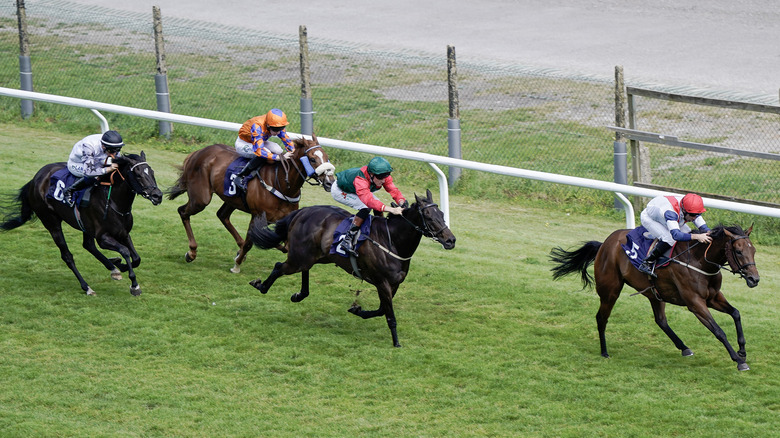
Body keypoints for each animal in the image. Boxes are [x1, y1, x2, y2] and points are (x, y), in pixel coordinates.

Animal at [0, 152, 162, 296]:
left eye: (152, 172)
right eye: (138, 174)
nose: (157, 196)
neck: (113, 202)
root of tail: (34, 180)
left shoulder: (123, 233)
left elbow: (136, 258)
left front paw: (118, 264)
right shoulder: (103, 237)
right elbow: (125, 251)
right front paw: (134, 285)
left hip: (85, 226)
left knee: (88, 245)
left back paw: (112, 268)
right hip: (51, 222)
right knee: (67, 256)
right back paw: (87, 287)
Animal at [166, 136, 334, 274]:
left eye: (326, 157)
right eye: (312, 159)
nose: (330, 182)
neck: (280, 183)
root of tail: (198, 152)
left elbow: (280, 243)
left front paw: (240, 255)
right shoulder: (257, 216)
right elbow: (251, 241)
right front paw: (236, 266)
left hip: (231, 199)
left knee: (222, 215)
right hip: (201, 198)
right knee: (183, 212)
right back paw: (192, 252)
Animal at [247, 190, 458, 348]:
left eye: (442, 215)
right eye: (428, 216)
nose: (450, 240)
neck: (392, 241)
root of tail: (302, 212)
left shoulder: (394, 283)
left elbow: (381, 310)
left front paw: (357, 310)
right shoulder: (382, 282)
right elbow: (389, 314)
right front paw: (396, 343)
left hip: (316, 256)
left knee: (303, 270)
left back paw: (299, 294)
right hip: (299, 257)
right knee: (279, 267)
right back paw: (261, 286)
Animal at [548, 224, 760, 372]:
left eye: (754, 251)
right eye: (738, 251)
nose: (754, 279)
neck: (700, 260)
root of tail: (604, 244)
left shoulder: (713, 297)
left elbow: (736, 313)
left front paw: (742, 350)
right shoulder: (695, 303)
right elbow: (718, 331)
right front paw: (739, 361)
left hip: (655, 294)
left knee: (661, 320)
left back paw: (684, 347)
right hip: (610, 290)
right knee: (601, 318)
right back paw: (604, 352)